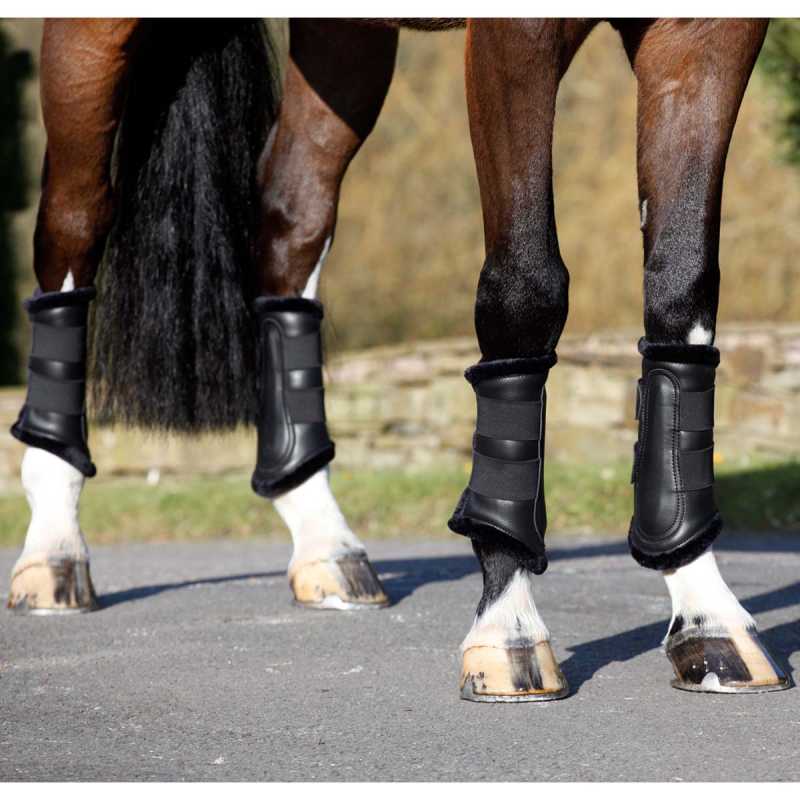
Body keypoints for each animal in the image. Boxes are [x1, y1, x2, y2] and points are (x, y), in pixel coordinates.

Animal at [7, 17, 792, 700]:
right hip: (94, 43)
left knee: (290, 222)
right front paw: (508, 628)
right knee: (74, 222)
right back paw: (53, 556)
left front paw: (709, 619)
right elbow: (526, 286)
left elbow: (682, 283)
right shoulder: (516, 34)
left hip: (343, 44)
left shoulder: (705, 33)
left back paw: (326, 547)